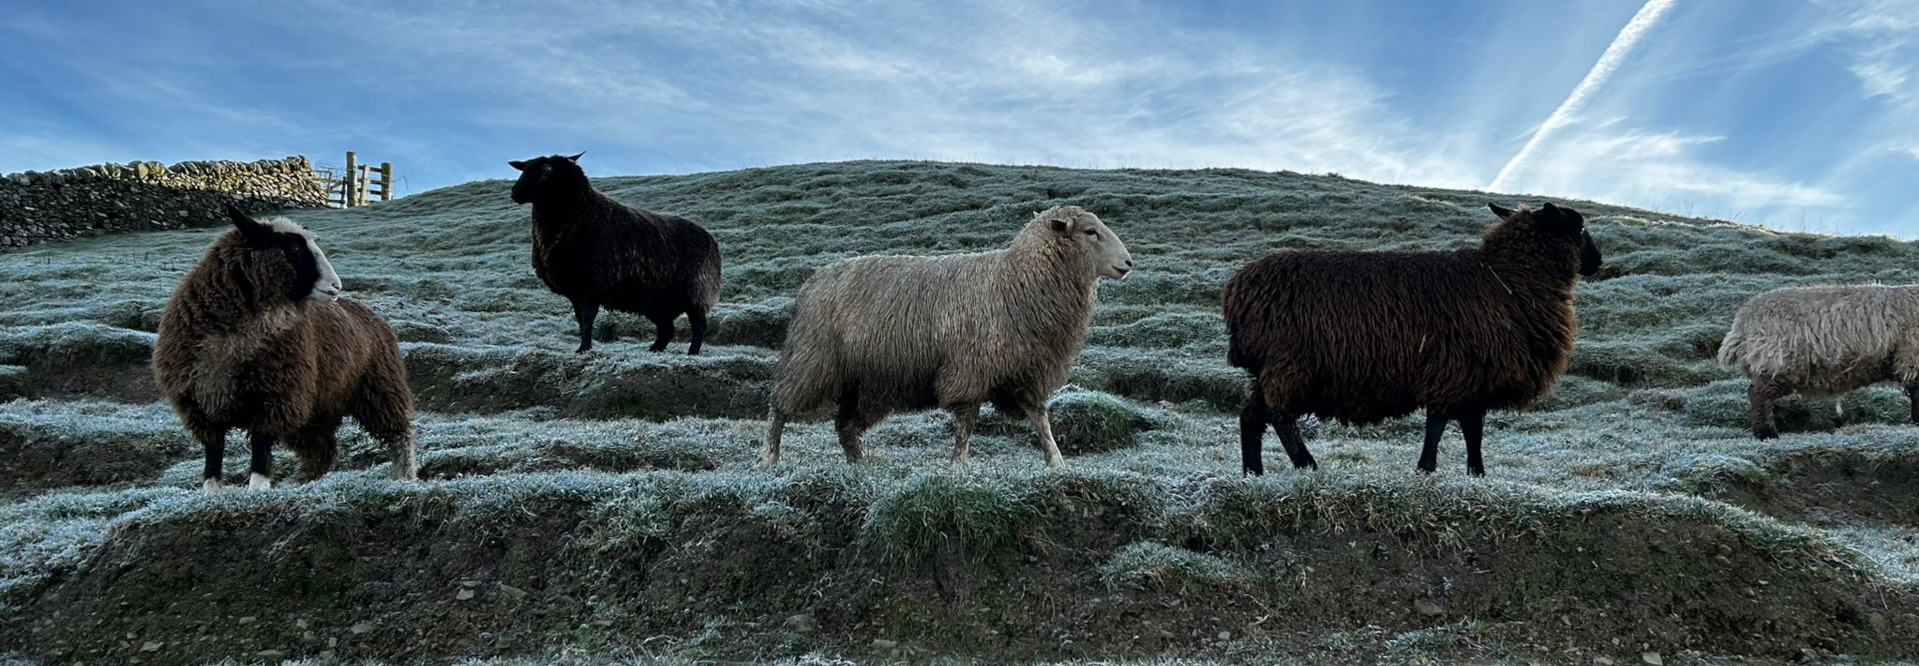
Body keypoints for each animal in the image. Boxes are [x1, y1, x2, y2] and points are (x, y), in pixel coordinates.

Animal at [154, 206, 415, 491]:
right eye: (294, 248)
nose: (336, 286)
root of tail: (372, 314)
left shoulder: (277, 397)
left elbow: (260, 444)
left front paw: (257, 488)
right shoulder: (201, 405)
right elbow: (213, 453)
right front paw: (211, 492)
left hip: (379, 388)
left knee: (399, 433)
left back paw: (404, 474)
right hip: (316, 408)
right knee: (322, 451)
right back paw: (300, 481)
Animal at [508, 153, 723, 355]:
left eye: (548, 169)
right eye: (523, 168)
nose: (515, 192)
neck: (583, 215)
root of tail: (710, 238)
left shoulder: (594, 283)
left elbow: (587, 318)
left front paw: (584, 348)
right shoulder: (575, 289)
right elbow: (579, 319)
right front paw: (584, 347)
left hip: (696, 290)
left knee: (699, 326)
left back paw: (692, 353)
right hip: (655, 300)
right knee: (667, 329)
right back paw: (654, 350)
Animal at [757, 205, 1133, 469]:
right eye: (1090, 231)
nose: (1128, 263)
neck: (1015, 280)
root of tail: (812, 281)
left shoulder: (1023, 370)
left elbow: (1040, 418)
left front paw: (1056, 461)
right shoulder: (970, 368)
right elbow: (967, 422)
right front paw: (958, 466)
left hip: (864, 382)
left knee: (845, 425)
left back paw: (859, 465)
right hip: (811, 359)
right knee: (779, 406)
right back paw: (768, 458)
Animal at [1222, 203, 1602, 476]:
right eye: (1580, 227)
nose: (1598, 262)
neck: (1509, 277)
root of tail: (1237, 290)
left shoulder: (1472, 375)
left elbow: (1472, 428)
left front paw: (1476, 473)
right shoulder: (1454, 368)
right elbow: (1440, 423)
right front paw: (1427, 469)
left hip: (1271, 366)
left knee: (1251, 414)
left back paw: (1252, 473)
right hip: (1291, 362)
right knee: (1279, 415)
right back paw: (1306, 465)